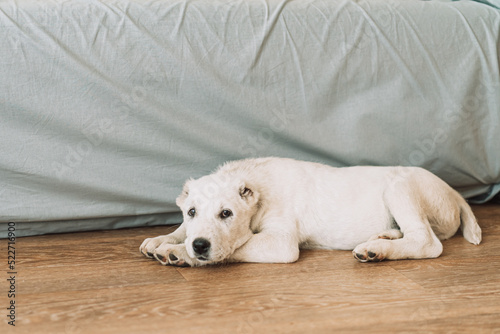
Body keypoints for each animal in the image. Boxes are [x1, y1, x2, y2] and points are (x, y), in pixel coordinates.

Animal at [140, 158, 480, 268]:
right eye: (192, 211)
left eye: (226, 214)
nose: (200, 246)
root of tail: (453, 191)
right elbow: (181, 230)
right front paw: (161, 240)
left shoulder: (280, 243)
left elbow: (238, 246)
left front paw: (180, 253)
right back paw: (383, 237)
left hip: (399, 187)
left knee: (427, 241)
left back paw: (377, 250)